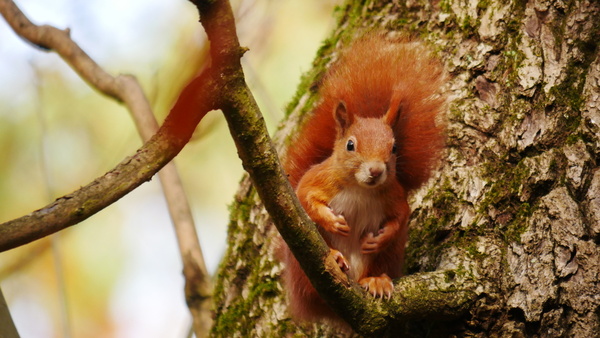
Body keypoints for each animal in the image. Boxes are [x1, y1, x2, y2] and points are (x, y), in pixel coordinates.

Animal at [282, 32, 446, 324]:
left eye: (394, 147)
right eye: (350, 145)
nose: (376, 170)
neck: (361, 189)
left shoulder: (394, 194)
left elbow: (401, 216)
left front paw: (379, 238)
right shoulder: (317, 179)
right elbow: (304, 197)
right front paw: (332, 220)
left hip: (383, 258)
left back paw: (375, 280)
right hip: (305, 262)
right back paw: (335, 258)